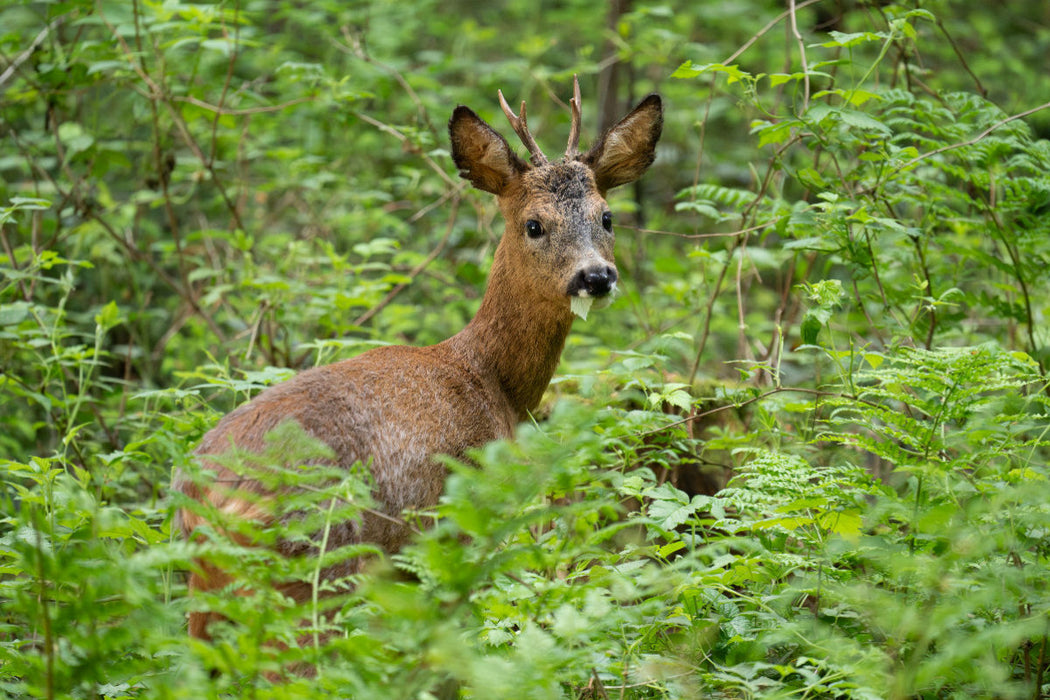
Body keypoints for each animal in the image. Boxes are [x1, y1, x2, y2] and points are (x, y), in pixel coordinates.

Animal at [173, 78, 663, 642]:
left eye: (607, 216)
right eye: (534, 224)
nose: (596, 276)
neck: (494, 384)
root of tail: (202, 494)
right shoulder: (458, 518)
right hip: (315, 561)